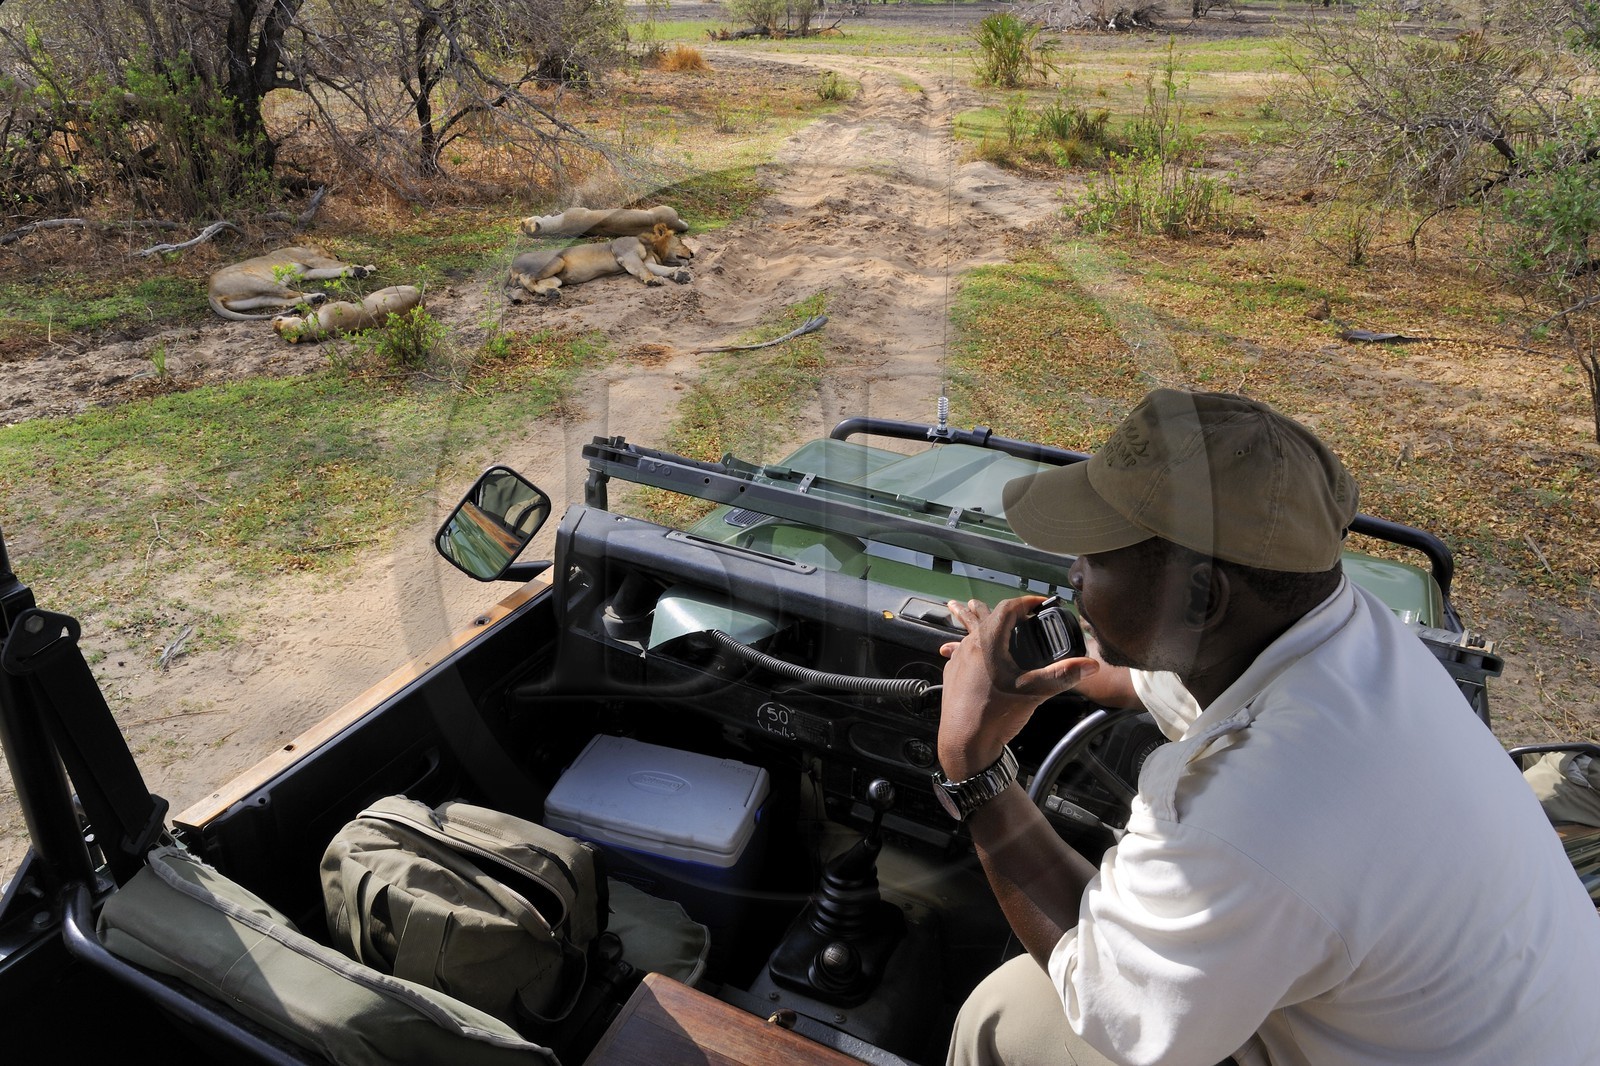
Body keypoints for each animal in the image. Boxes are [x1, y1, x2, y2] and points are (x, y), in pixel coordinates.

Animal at [208, 245, 377, 321]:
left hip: (255, 299)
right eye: (327, 249)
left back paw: (315, 298)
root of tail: (211, 293)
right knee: (291, 293)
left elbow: (331, 270)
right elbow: (338, 264)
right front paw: (363, 268)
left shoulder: (306, 272)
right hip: (258, 281)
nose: (336, 254)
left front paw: (358, 270)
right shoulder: (310, 259)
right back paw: (319, 296)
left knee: (283, 300)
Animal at [505, 224, 694, 303]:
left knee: (542, 283)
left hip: (556, 278)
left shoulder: (644, 261)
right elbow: (644, 270)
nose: (692, 253)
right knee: (526, 277)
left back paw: (552, 293)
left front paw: (681, 274)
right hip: (556, 260)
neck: (651, 246)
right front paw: (653, 280)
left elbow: (660, 269)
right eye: (681, 241)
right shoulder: (627, 255)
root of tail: (512, 264)